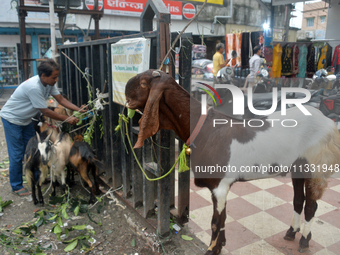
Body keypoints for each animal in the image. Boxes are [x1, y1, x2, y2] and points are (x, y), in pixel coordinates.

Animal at [125, 69, 340, 255]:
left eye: (143, 83)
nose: (125, 92)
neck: (205, 129)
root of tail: (328, 123)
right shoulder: (219, 187)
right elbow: (221, 219)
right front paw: (220, 245)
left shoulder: (220, 186)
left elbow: (216, 221)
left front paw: (212, 249)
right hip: (298, 165)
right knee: (298, 200)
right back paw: (291, 232)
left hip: (316, 165)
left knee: (311, 205)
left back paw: (304, 240)